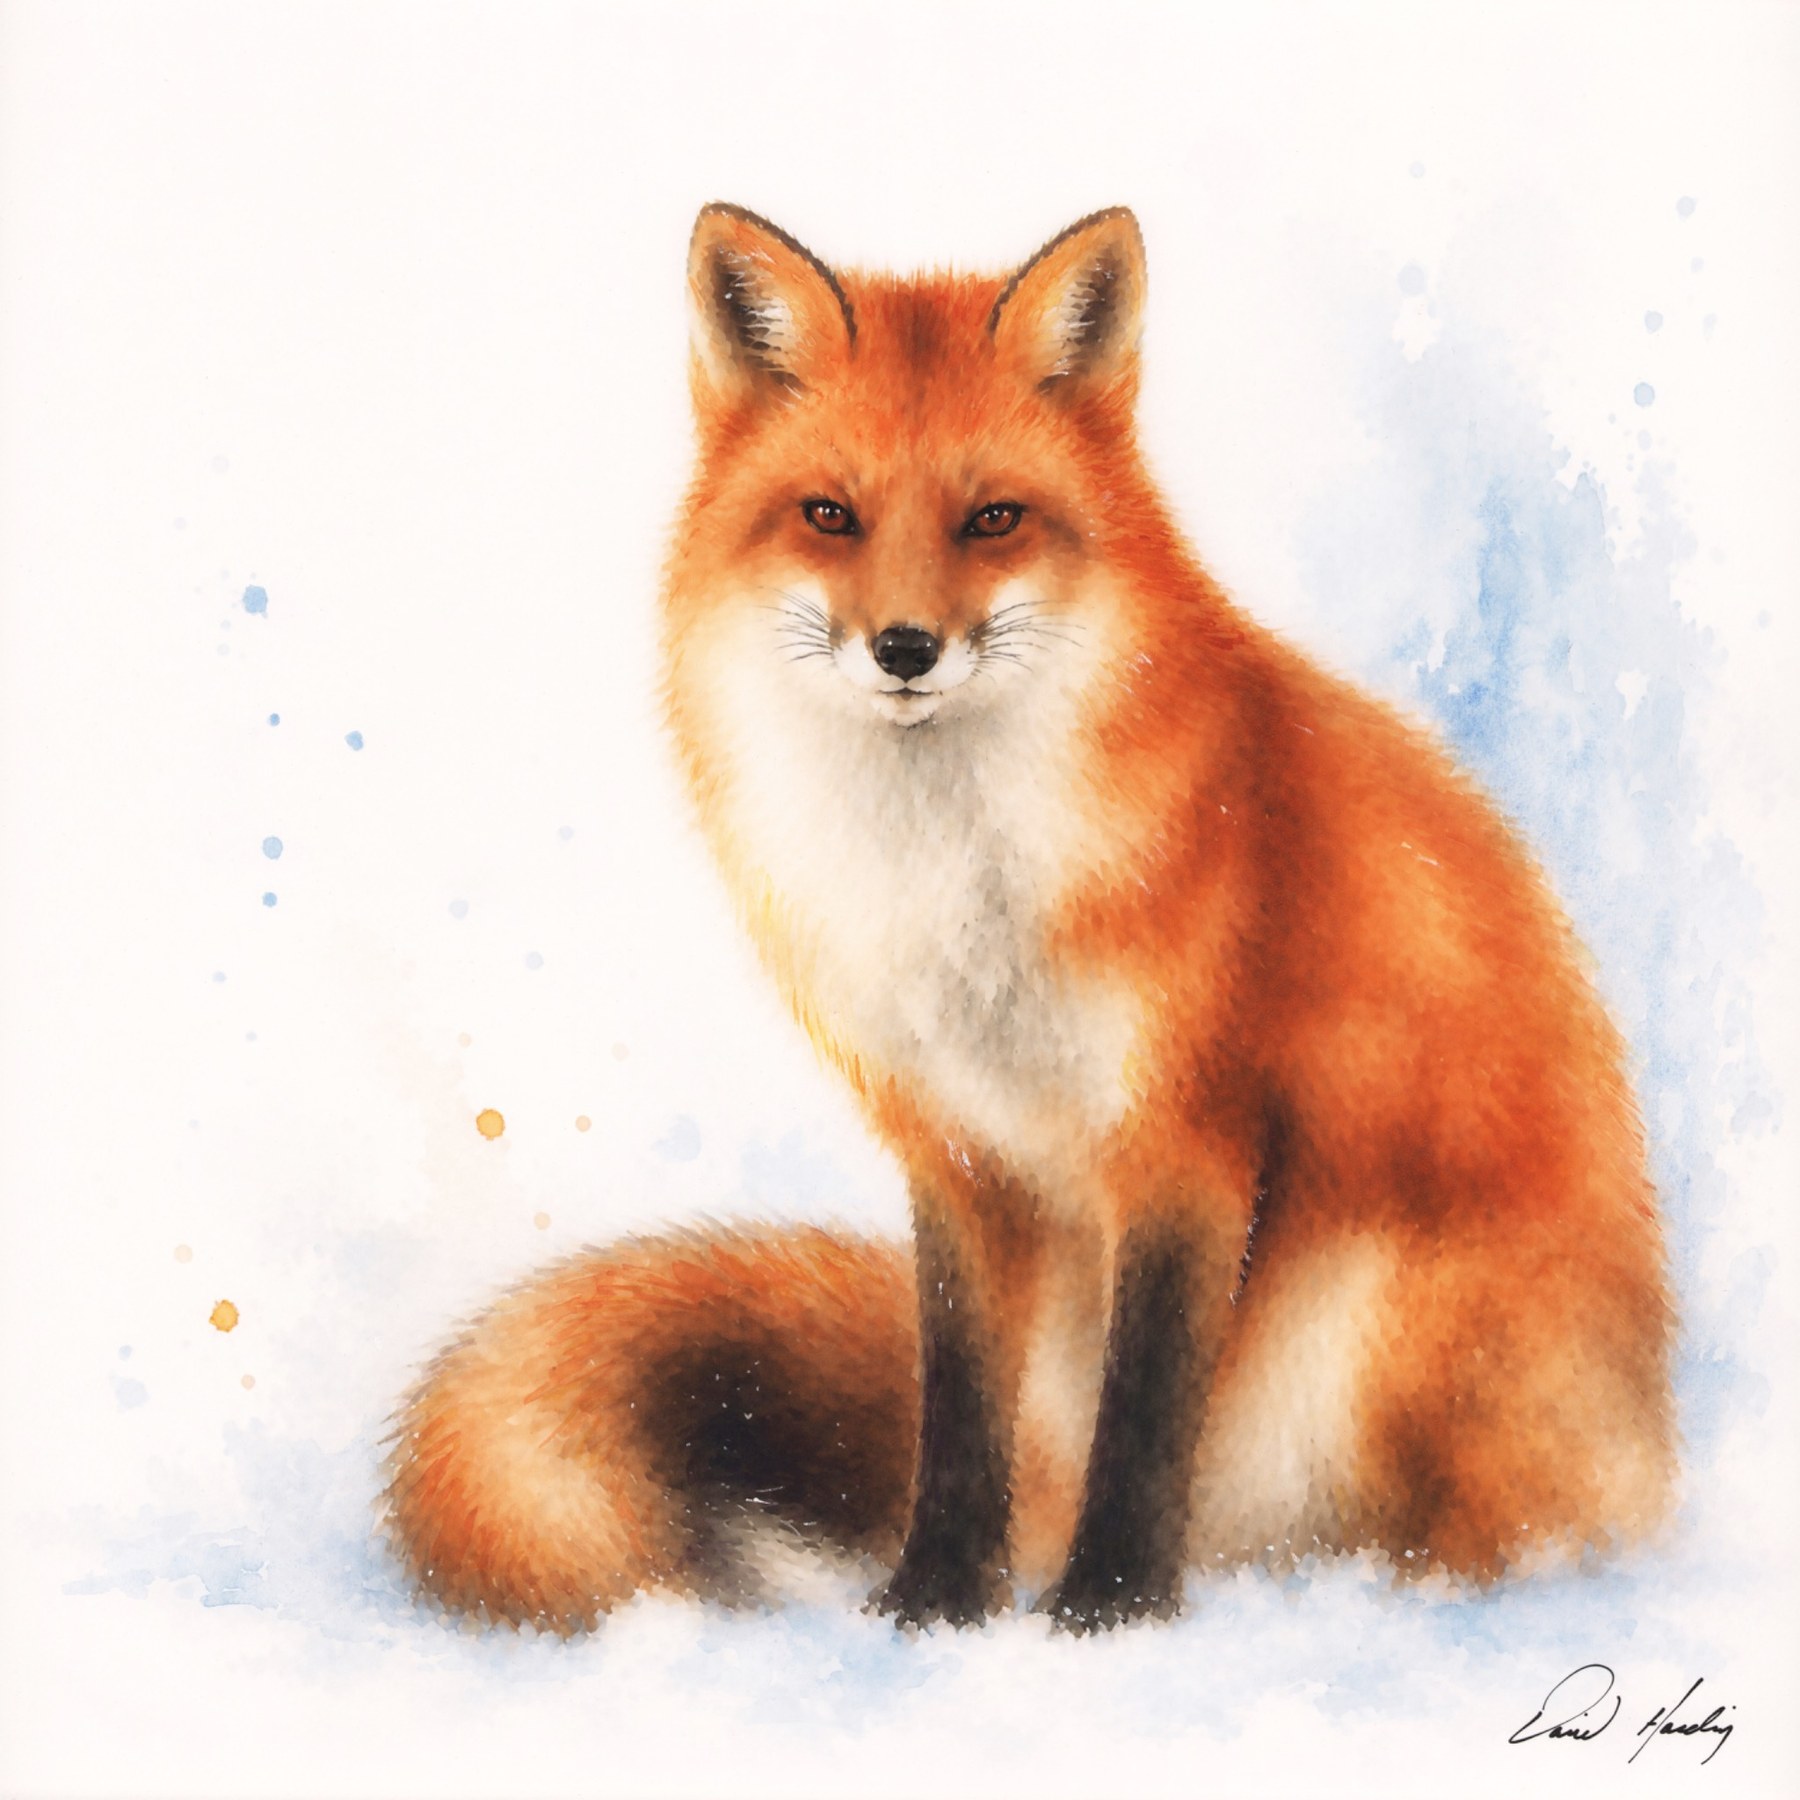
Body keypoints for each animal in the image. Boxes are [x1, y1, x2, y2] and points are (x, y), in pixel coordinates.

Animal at [384, 204, 1674, 1634]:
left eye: (993, 518)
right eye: (830, 516)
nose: (903, 647)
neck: (960, 886)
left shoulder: (1185, 1142)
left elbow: (1148, 1409)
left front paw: (1110, 1607)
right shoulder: (957, 1153)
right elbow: (957, 1409)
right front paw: (940, 1600)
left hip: (1381, 1323)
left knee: (1482, 1532)